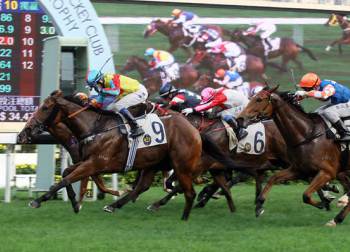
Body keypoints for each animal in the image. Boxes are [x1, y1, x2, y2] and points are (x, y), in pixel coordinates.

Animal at [17, 90, 246, 219]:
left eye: (46, 107)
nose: (22, 134)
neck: (95, 127)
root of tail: (195, 130)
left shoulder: (96, 163)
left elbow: (68, 179)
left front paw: (40, 201)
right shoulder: (87, 161)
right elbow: (66, 174)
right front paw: (74, 203)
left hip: (184, 163)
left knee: (188, 185)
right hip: (154, 161)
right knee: (145, 185)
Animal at [237, 87, 350, 225]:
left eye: (259, 99)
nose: (240, 118)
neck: (308, 134)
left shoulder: (328, 172)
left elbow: (306, 195)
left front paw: (324, 202)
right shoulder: (298, 169)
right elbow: (273, 178)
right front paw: (259, 205)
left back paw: (337, 216)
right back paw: (337, 218)